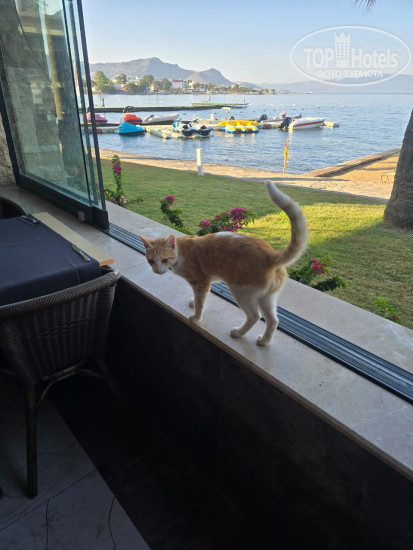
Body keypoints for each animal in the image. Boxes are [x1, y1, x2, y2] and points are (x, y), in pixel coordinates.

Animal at [140, 181, 308, 346]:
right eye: (151, 261)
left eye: (164, 260)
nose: (157, 271)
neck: (181, 253)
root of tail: (271, 255)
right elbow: (197, 299)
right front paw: (193, 302)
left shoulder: (202, 283)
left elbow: (201, 304)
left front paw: (196, 317)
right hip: (266, 298)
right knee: (273, 321)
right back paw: (264, 341)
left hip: (240, 291)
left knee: (254, 316)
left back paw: (238, 333)